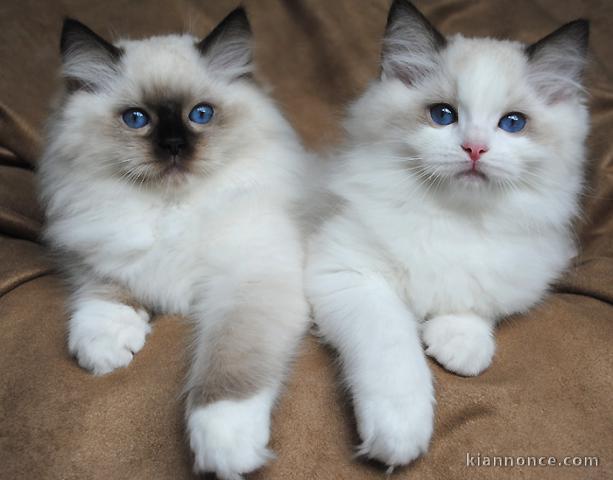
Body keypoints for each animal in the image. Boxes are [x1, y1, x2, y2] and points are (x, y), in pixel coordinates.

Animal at [36, 9, 308, 478]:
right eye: (136, 119)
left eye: (201, 114)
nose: (175, 146)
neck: (172, 209)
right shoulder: (97, 249)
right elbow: (103, 294)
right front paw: (105, 349)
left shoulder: (248, 282)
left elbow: (228, 367)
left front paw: (224, 442)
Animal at [306, 0, 588, 466]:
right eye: (443, 115)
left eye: (513, 123)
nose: (474, 148)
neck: (455, 217)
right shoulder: (349, 274)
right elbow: (393, 350)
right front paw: (399, 431)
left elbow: (474, 300)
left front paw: (461, 345)